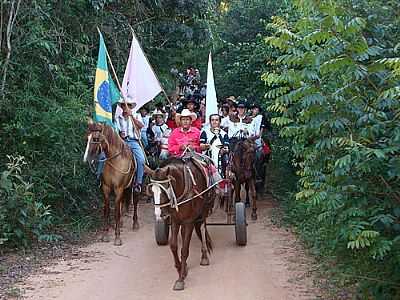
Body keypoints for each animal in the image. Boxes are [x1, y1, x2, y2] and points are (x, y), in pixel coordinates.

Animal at [146, 157, 214, 290]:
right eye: (152, 190)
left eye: (166, 188)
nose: (159, 214)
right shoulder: (175, 220)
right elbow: (173, 246)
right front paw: (181, 268)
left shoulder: (189, 222)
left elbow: (184, 250)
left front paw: (181, 278)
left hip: (204, 209)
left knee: (202, 228)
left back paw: (204, 256)